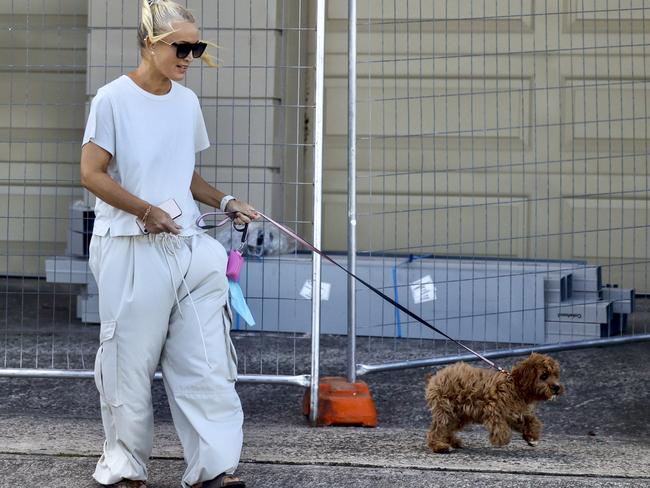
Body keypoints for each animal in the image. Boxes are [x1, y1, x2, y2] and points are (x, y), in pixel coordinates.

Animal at [426, 350, 560, 454]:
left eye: (555, 375)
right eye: (544, 376)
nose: (557, 387)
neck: (515, 387)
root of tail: (436, 377)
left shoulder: (515, 413)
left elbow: (530, 421)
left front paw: (532, 435)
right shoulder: (493, 408)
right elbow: (500, 426)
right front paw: (500, 438)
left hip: (459, 415)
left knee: (447, 429)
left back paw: (454, 442)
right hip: (446, 408)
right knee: (437, 429)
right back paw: (438, 446)